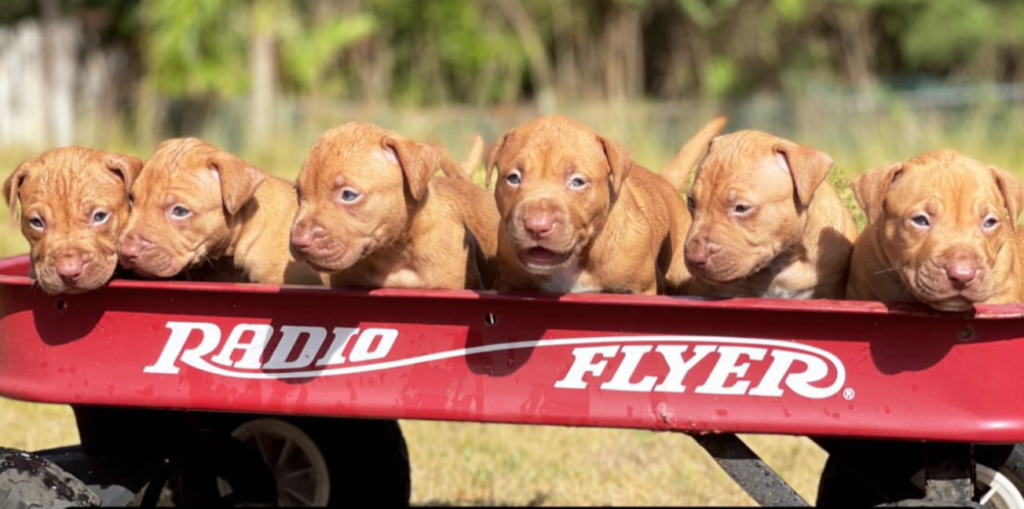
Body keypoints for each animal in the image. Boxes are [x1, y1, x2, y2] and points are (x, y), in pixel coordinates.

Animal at [485, 113, 720, 290]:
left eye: (577, 182)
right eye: (513, 178)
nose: (537, 225)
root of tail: (662, 180)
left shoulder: (640, 289)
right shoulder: (507, 284)